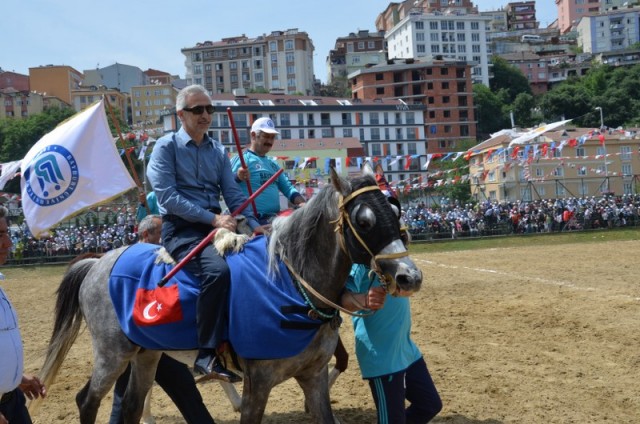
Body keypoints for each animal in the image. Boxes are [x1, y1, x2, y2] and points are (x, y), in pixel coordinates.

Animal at [37, 166, 422, 424]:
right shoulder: (258, 385)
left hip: (146, 353)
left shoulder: (313, 377)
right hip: (112, 354)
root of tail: (98, 263)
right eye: (365, 221)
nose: (409, 276)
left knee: (131, 405)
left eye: (396, 210)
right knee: (87, 401)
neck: (288, 283)